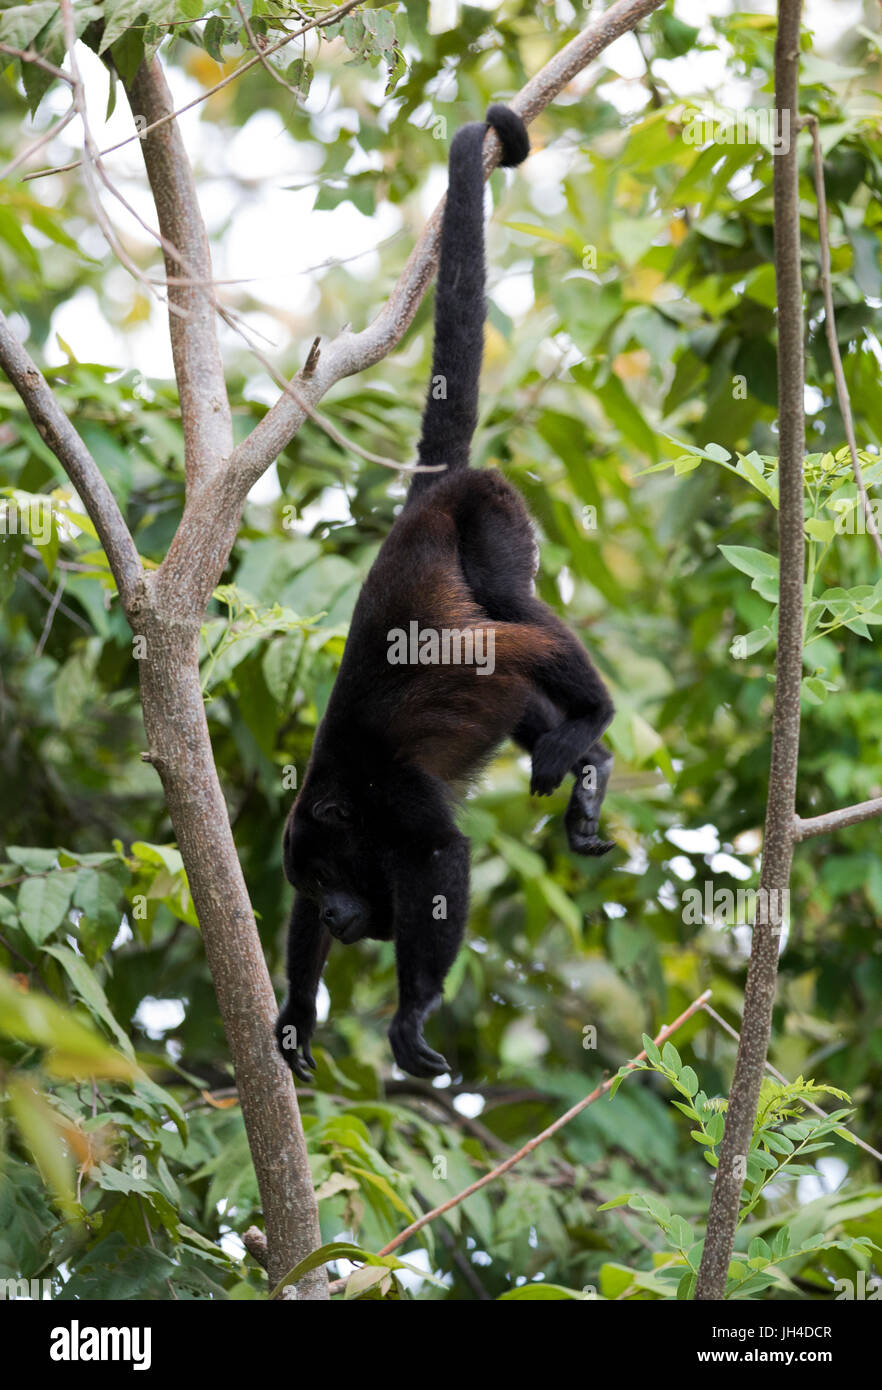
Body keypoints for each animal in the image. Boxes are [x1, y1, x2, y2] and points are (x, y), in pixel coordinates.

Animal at [276, 105, 613, 1084]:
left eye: (327, 874)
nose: (338, 914)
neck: (343, 798)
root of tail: (428, 497)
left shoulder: (393, 796)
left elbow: (441, 856)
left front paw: (414, 1010)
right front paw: (295, 1014)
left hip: (493, 513)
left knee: (517, 615)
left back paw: (593, 718)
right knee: (513, 685)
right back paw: (590, 765)